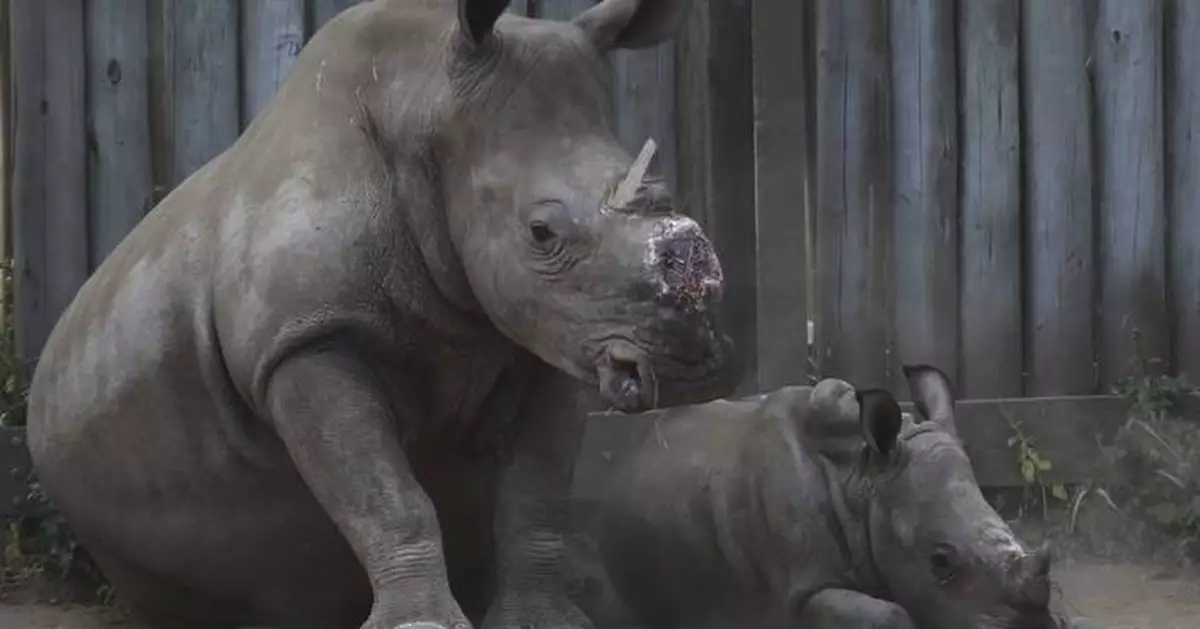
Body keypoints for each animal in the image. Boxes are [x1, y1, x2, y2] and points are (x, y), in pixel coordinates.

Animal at [24, 1, 739, 628]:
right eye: (541, 233)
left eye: (667, 193)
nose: (693, 368)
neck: (423, 105)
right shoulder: (308, 338)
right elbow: (386, 495)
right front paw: (422, 626)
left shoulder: (561, 335)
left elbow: (535, 494)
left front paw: (545, 624)